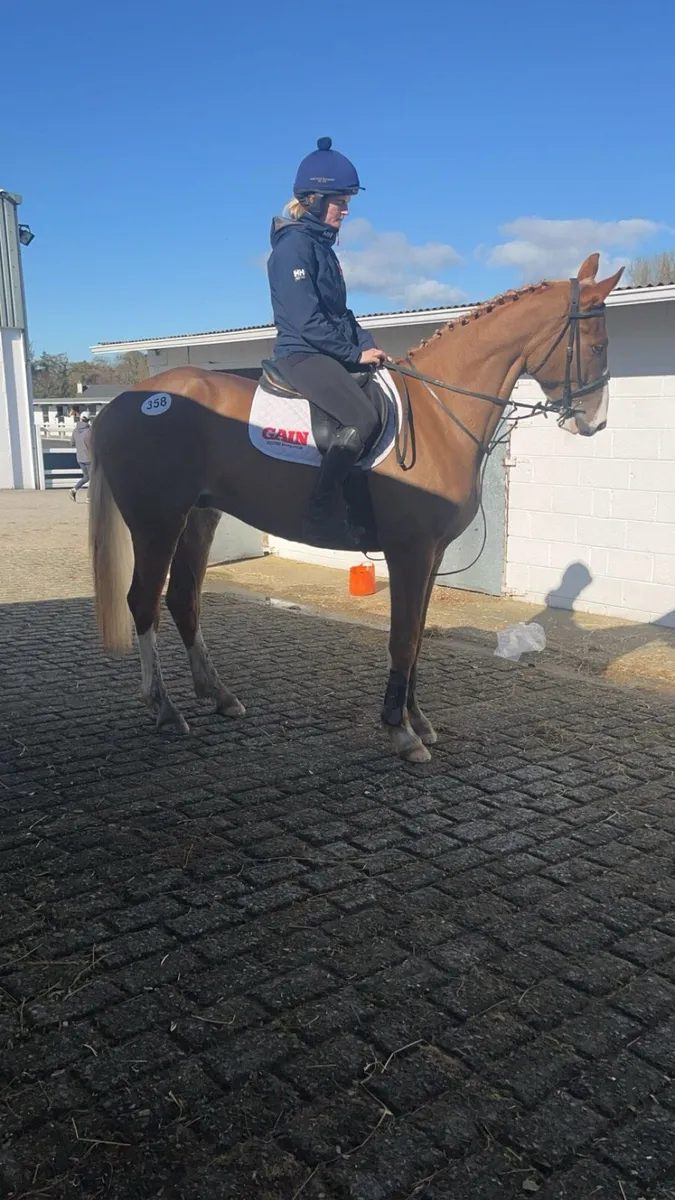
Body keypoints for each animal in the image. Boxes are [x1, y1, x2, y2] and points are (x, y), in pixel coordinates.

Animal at [89, 254, 623, 763]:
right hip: (157, 523)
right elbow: (402, 638)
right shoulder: (410, 552)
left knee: (183, 598)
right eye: (597, 346)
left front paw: (416, 719)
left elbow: (418, 635)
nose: (595, 422)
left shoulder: (431, 555)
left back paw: (217, 695)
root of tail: (121, 404)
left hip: (199, 517)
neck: (437, 414)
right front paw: (400, 731)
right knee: (143, 601)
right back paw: (163, 707)